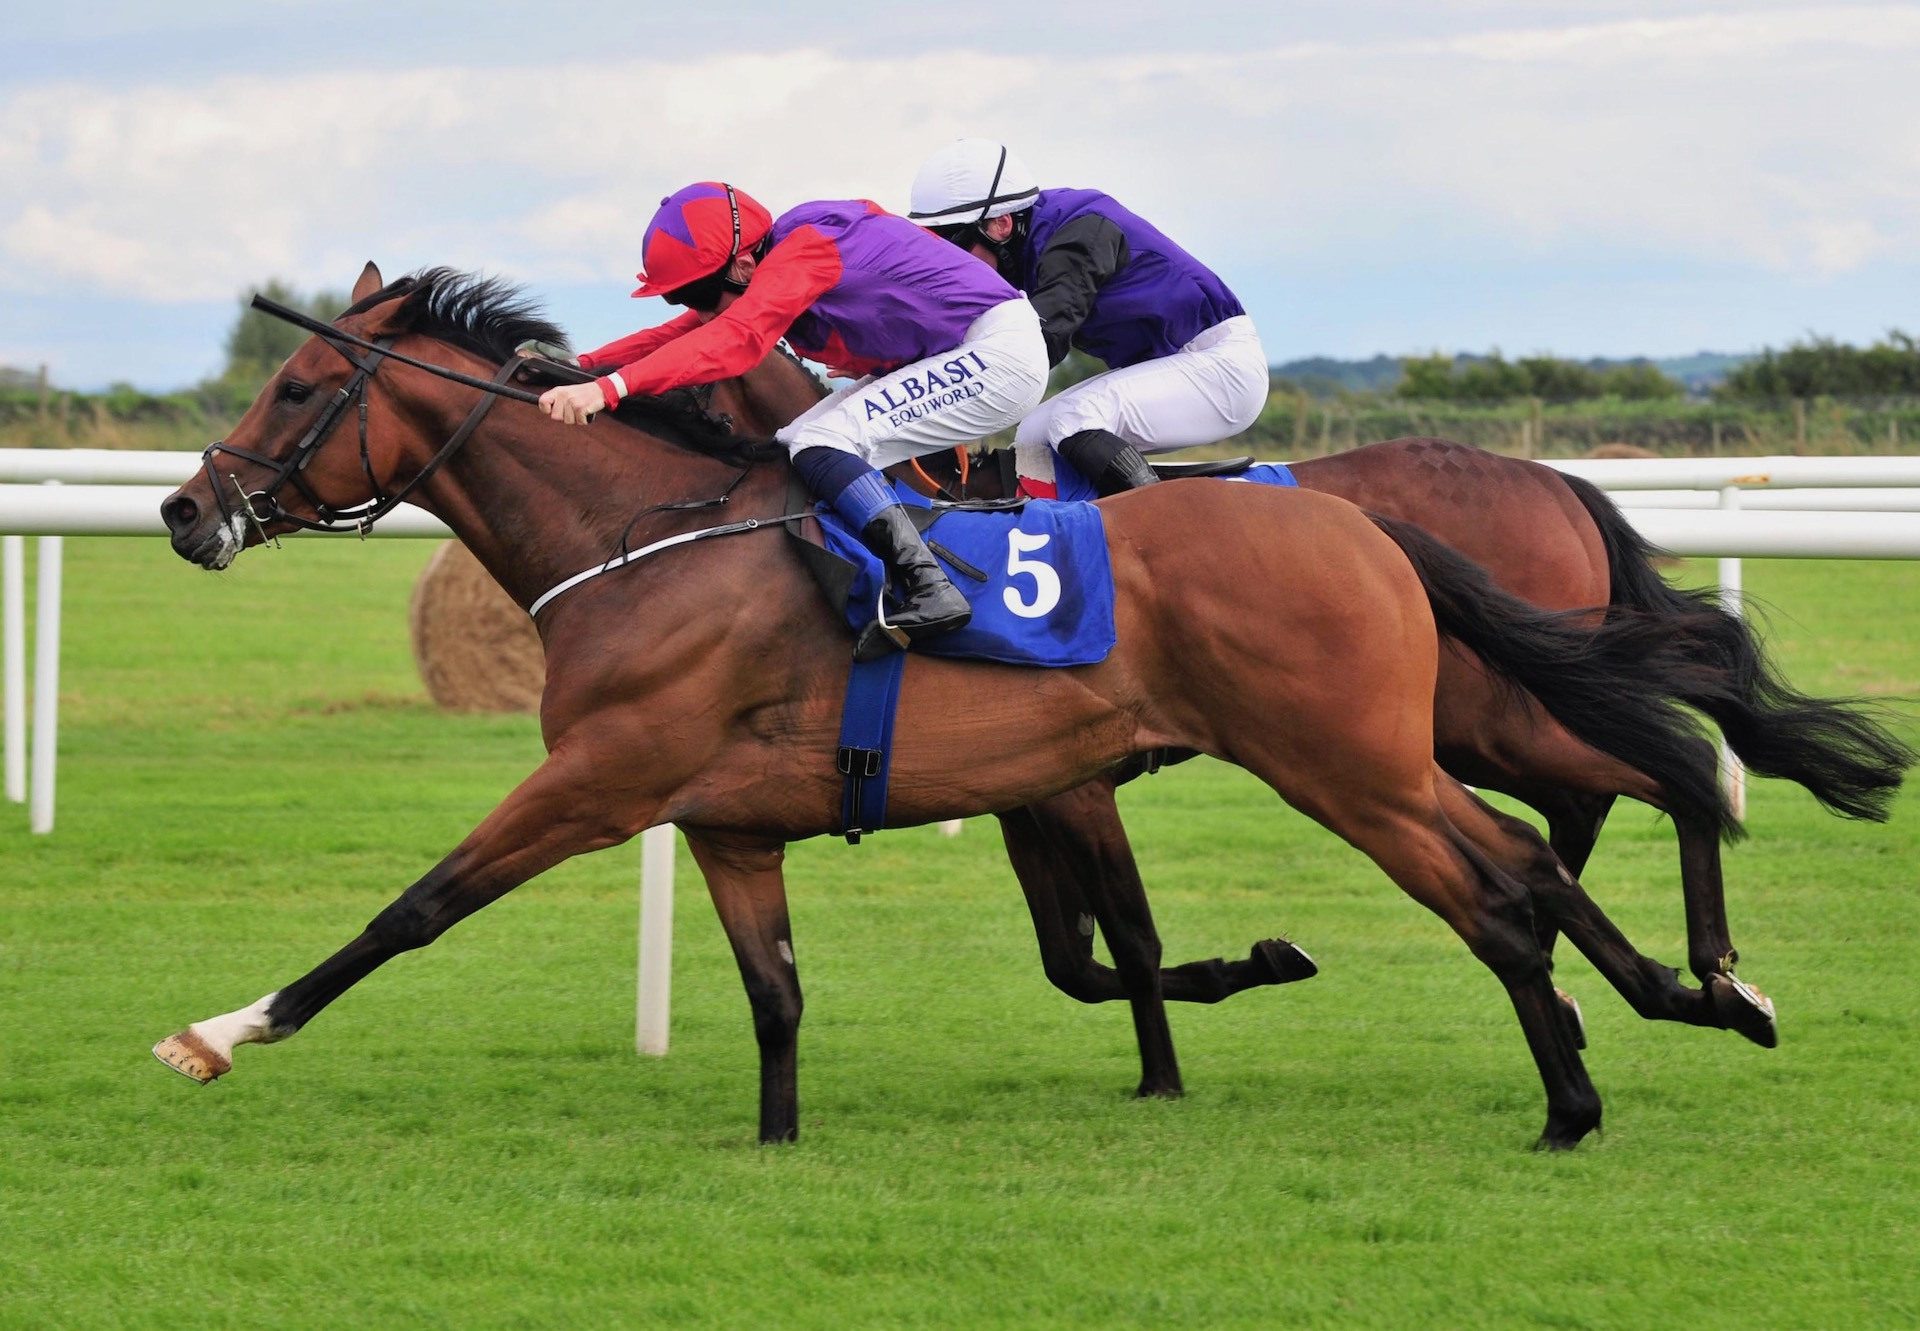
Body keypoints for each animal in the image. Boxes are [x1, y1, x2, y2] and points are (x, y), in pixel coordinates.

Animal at [149, 265, 1743, 1144]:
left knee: (1550, 853)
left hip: (1357, 755)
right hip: (1395, 748)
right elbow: (788, 994)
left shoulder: (604, 780)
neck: (653, 540)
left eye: (298, 384)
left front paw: (224, 1029)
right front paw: (778, 1141)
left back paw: (1605, 1067)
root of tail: (1364, 524)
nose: (181, 509)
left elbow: (412, 908)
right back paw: (1660, 1008)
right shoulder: (734, 822)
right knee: (1543, 846)